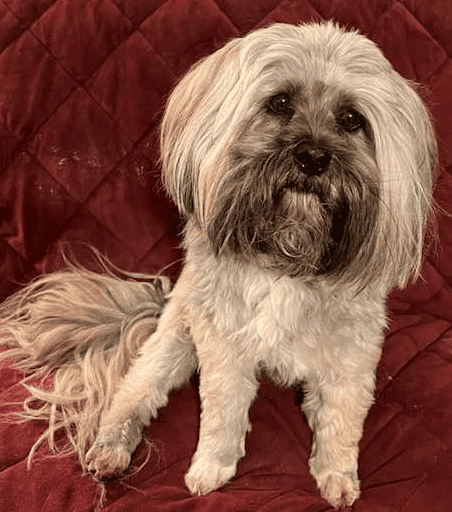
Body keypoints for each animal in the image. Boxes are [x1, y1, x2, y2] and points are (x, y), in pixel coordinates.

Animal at [0, 21, 438, 508]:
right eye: (279, 102)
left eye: (351, 119)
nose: (313, 157)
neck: (288, 253)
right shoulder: (224, 348)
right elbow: (222, 415)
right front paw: (211, 467)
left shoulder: (351, 356)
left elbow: (341, 421)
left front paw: (336, 475)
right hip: (172, 343)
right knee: (133, 394)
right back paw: (111, 449)